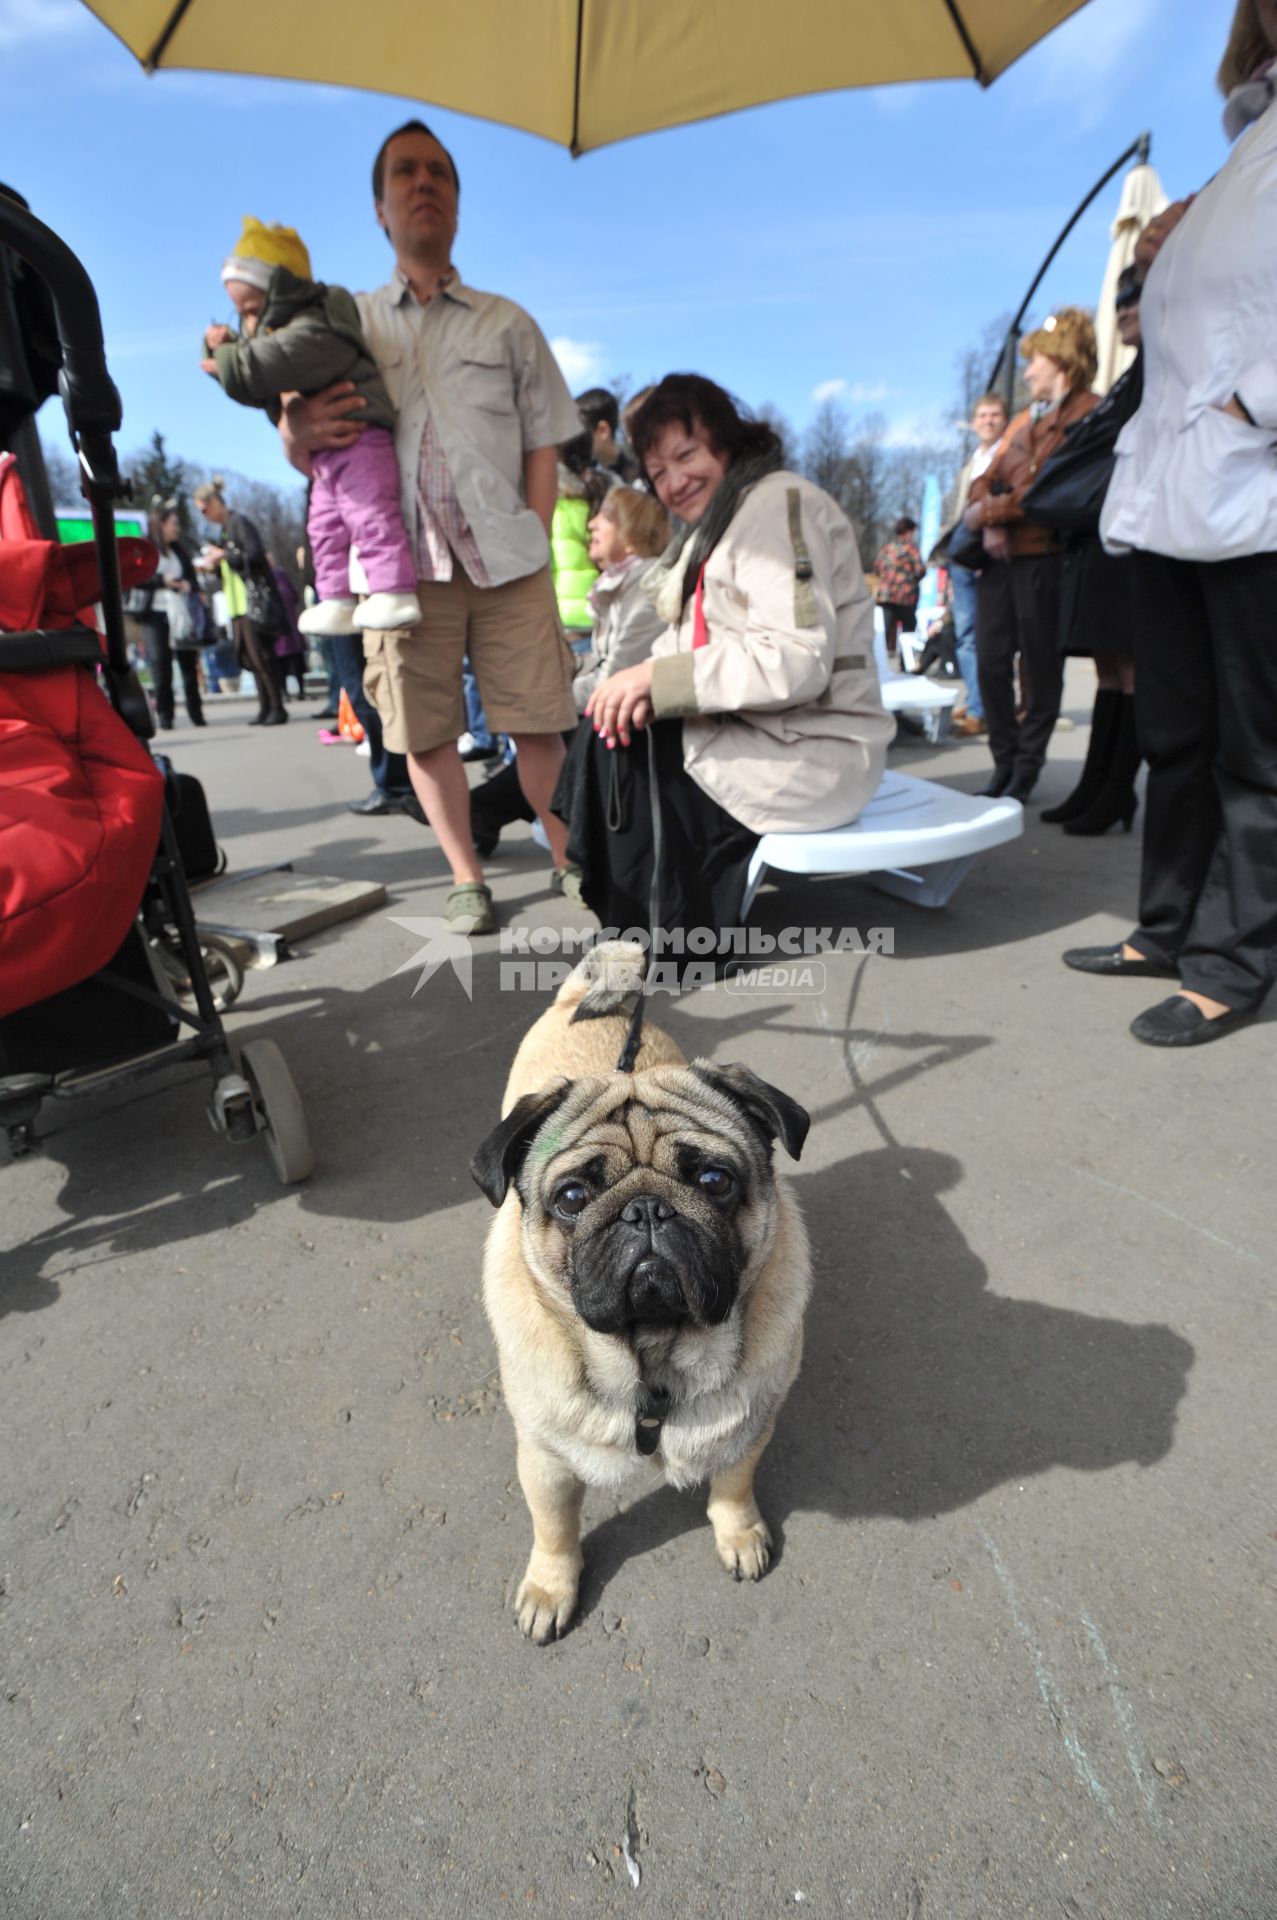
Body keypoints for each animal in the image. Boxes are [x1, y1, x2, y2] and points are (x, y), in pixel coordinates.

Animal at [468, 936, 806, 1643]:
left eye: (714, 1181)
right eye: (573, 1197)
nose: (646, 1209)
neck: (652, 1358)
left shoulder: (750, 1429)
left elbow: (733, 1487)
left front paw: (740, 1535)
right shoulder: (544, 1461)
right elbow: (554, 1529)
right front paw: (550, 1588)